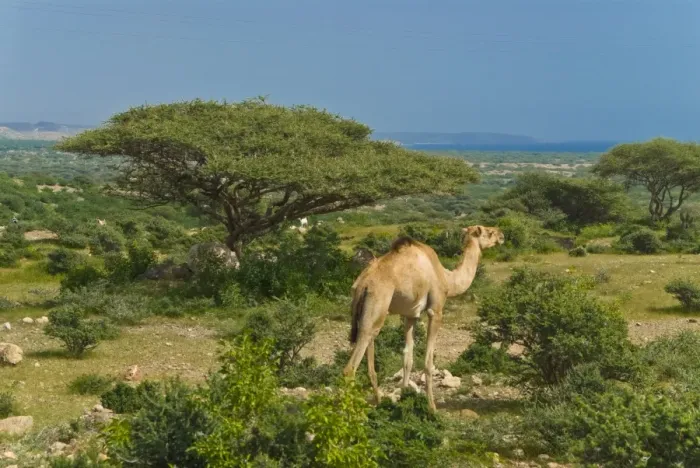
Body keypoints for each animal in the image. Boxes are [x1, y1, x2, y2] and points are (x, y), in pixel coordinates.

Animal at [343, 225, 504, 411]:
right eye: (489, 232)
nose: (502, 235)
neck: (447, 279)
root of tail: (362, 285)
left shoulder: (410, 315)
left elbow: (407, 358)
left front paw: (403, 398)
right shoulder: (436, 310)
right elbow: (428, 362)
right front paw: (432, 407)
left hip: (369, 314)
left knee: (369, 349)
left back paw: (378, 401)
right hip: (376, 306)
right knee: (351, 366)